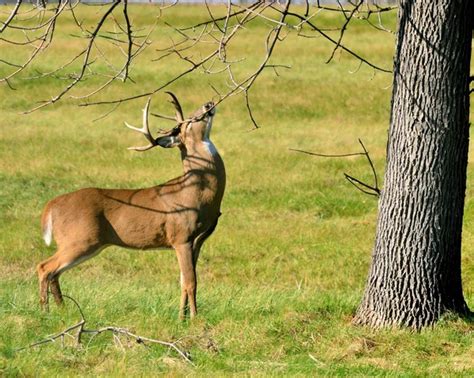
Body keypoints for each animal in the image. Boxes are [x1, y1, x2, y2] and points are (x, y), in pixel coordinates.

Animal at [37, 92, 226, 318]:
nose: (208, 104)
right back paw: (44, 312)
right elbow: (191, 282)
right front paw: (195, 318)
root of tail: (52, 205)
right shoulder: (181, 236)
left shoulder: (196, 241)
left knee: (55, 272)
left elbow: (183, 281)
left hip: (84, 242)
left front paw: (182, 317)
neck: (196, 192)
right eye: (188, 122)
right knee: (44, 267)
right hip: (79, 238)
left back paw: (62, 310)